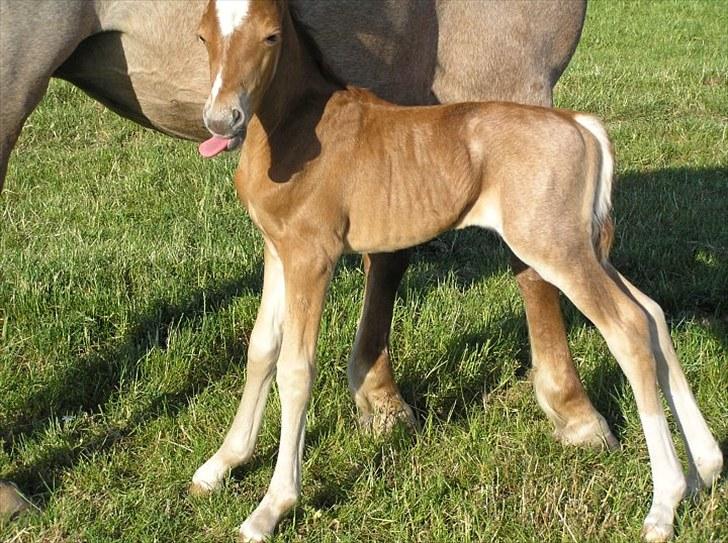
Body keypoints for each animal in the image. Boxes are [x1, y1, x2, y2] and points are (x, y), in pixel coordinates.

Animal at [0, 0, 601, 516]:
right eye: (201, 36)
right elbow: (533, 269)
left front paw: (374, 401)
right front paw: (575, 411)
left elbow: (355, 278)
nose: (221, 120)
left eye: (271, 36)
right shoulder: (510, 69)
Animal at [190, 1, 723, 541]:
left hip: (556, 251)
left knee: (628, 328)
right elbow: (261, 350)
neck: (296, 129)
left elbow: (295, 370)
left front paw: (271, 507)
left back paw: (665, 503)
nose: (221, 120)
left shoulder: (311, 256)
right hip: (584, 249)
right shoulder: (277, 251)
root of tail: (580, 125)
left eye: (271, 36)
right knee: (652, 313)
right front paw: (220, 465)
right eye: (203, 36)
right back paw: (705, 469)